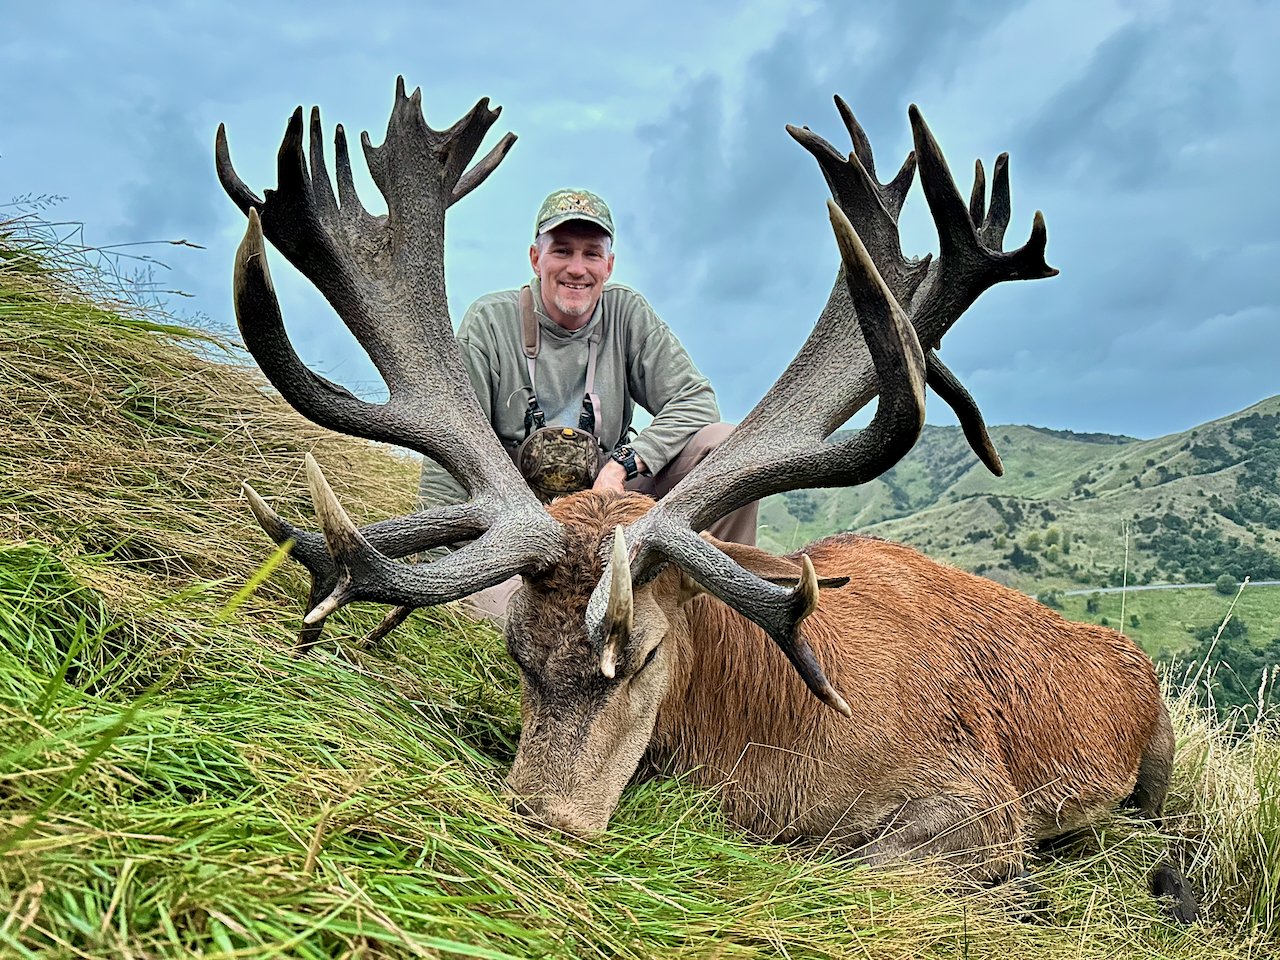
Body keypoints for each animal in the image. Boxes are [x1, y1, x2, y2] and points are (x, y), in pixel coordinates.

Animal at [215, 78, 1196, 921]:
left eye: (644, 652)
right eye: (517, 651)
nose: (542, 819)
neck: (771, 745)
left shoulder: (979, 794)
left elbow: (868, 863)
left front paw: (1017, 887)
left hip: (1159, 752)